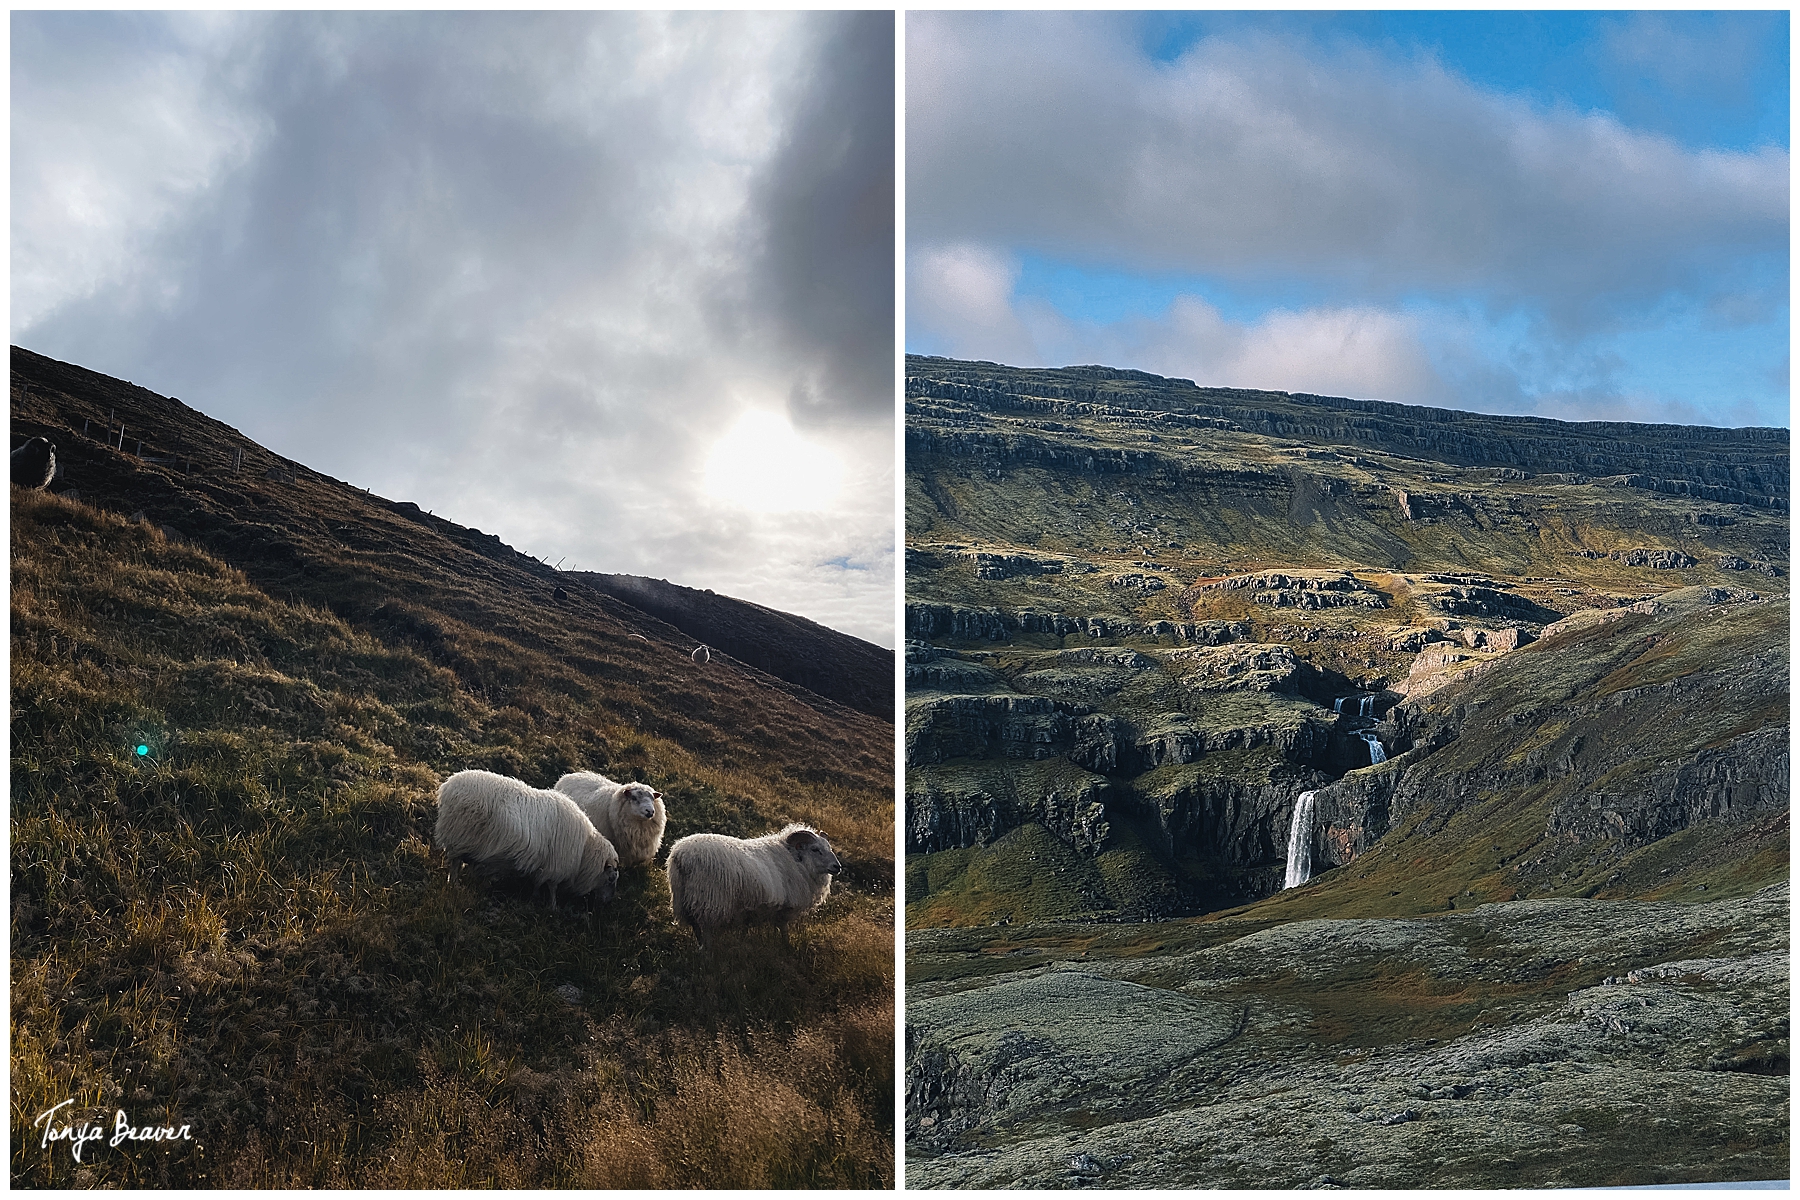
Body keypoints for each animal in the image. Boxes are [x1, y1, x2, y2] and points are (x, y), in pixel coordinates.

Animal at [433, 770, 619, 910]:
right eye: (611, 879)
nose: (608, 903)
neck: (585, 849)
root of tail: (448, 785)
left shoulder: (543, 865)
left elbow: (537, 882)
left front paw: (535, 896)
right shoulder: (556, 866)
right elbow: (552, 887)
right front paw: (553, 906)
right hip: (458, 837)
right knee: (455, 864)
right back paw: (454, 884)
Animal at [669, 827, 842, 949]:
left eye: (829, 848)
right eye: (815, 849)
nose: (837, 866)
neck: (796, 860)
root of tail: (682, 857)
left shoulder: (749, 909)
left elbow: (745, 929)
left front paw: (742, 942)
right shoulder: (785, 908)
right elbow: (783, 928)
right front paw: (786, 946)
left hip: (682, 897)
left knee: (695, 925)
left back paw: (700, 947)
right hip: (710, 899)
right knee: (705, 928)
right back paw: (707, 951)